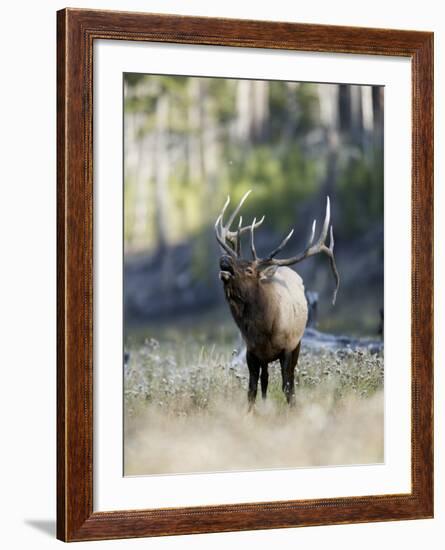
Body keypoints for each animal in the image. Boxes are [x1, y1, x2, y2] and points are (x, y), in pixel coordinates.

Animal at [213, 191, 338, 410]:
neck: (264, 329)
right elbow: (252, 390)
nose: (224, 259)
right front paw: (250, 413)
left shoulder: (287, 347)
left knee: (289, 380)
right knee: (265, 380)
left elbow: (287, 386)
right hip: (265, 358)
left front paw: (291, 410)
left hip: (297, 344)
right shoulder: (252, 351)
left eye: (249, 269)